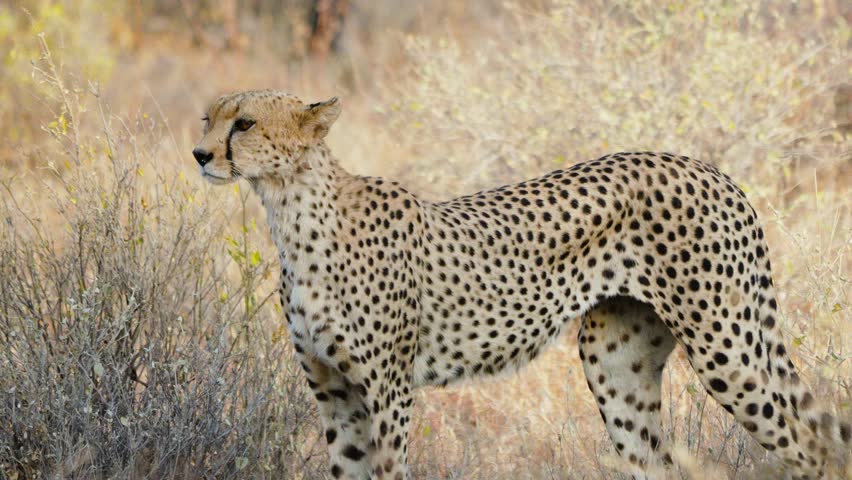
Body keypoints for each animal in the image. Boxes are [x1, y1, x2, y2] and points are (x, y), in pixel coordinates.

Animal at [193, 89, 850, 479]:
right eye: (208, 117)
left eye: (244, 123)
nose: (199, 153)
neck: (292, 209)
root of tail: (708, 167)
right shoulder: (334, 390)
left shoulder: (388, 390)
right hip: (615, 364)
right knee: (655, 460)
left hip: (726, 348)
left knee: (813, 446)